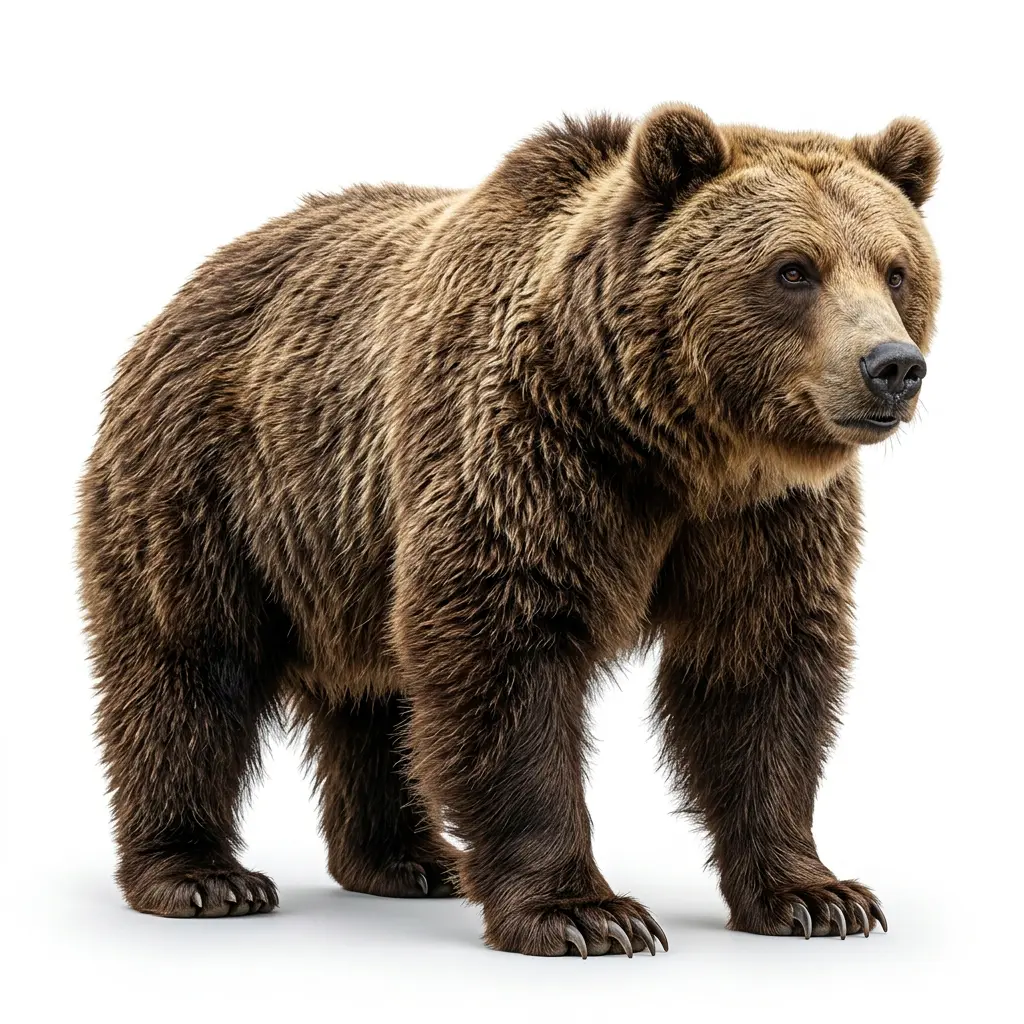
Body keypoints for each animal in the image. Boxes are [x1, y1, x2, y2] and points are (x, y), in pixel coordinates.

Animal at [77, 103, 940, 956]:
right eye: (794, 269)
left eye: (896, 268)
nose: (892, 365)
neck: (677, 446)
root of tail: (194, 282)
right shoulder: (530, 454)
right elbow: (505, 652)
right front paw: (586, 913)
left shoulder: (763, 518)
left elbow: (759, 669)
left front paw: (818, 896)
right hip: (215, 489)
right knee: (187, 666)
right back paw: (200, 874)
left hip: (350, 547)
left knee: (378, 696)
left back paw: (408, 859)